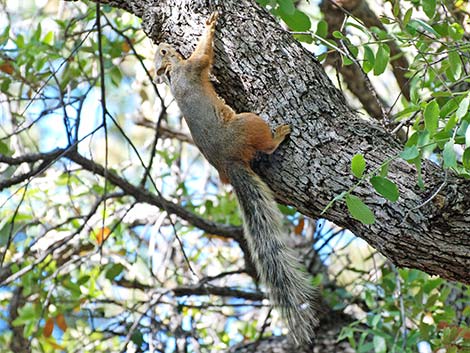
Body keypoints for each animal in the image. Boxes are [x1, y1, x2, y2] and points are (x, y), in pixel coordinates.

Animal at [154, 12, 320, 342]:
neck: (174, 74)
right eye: (164, 52)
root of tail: (229, 164)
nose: (162, 42)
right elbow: (204, 54)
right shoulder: (193, 67)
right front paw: (210, 24)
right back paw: (278, 137)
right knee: (264, 143)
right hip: (249, 123)